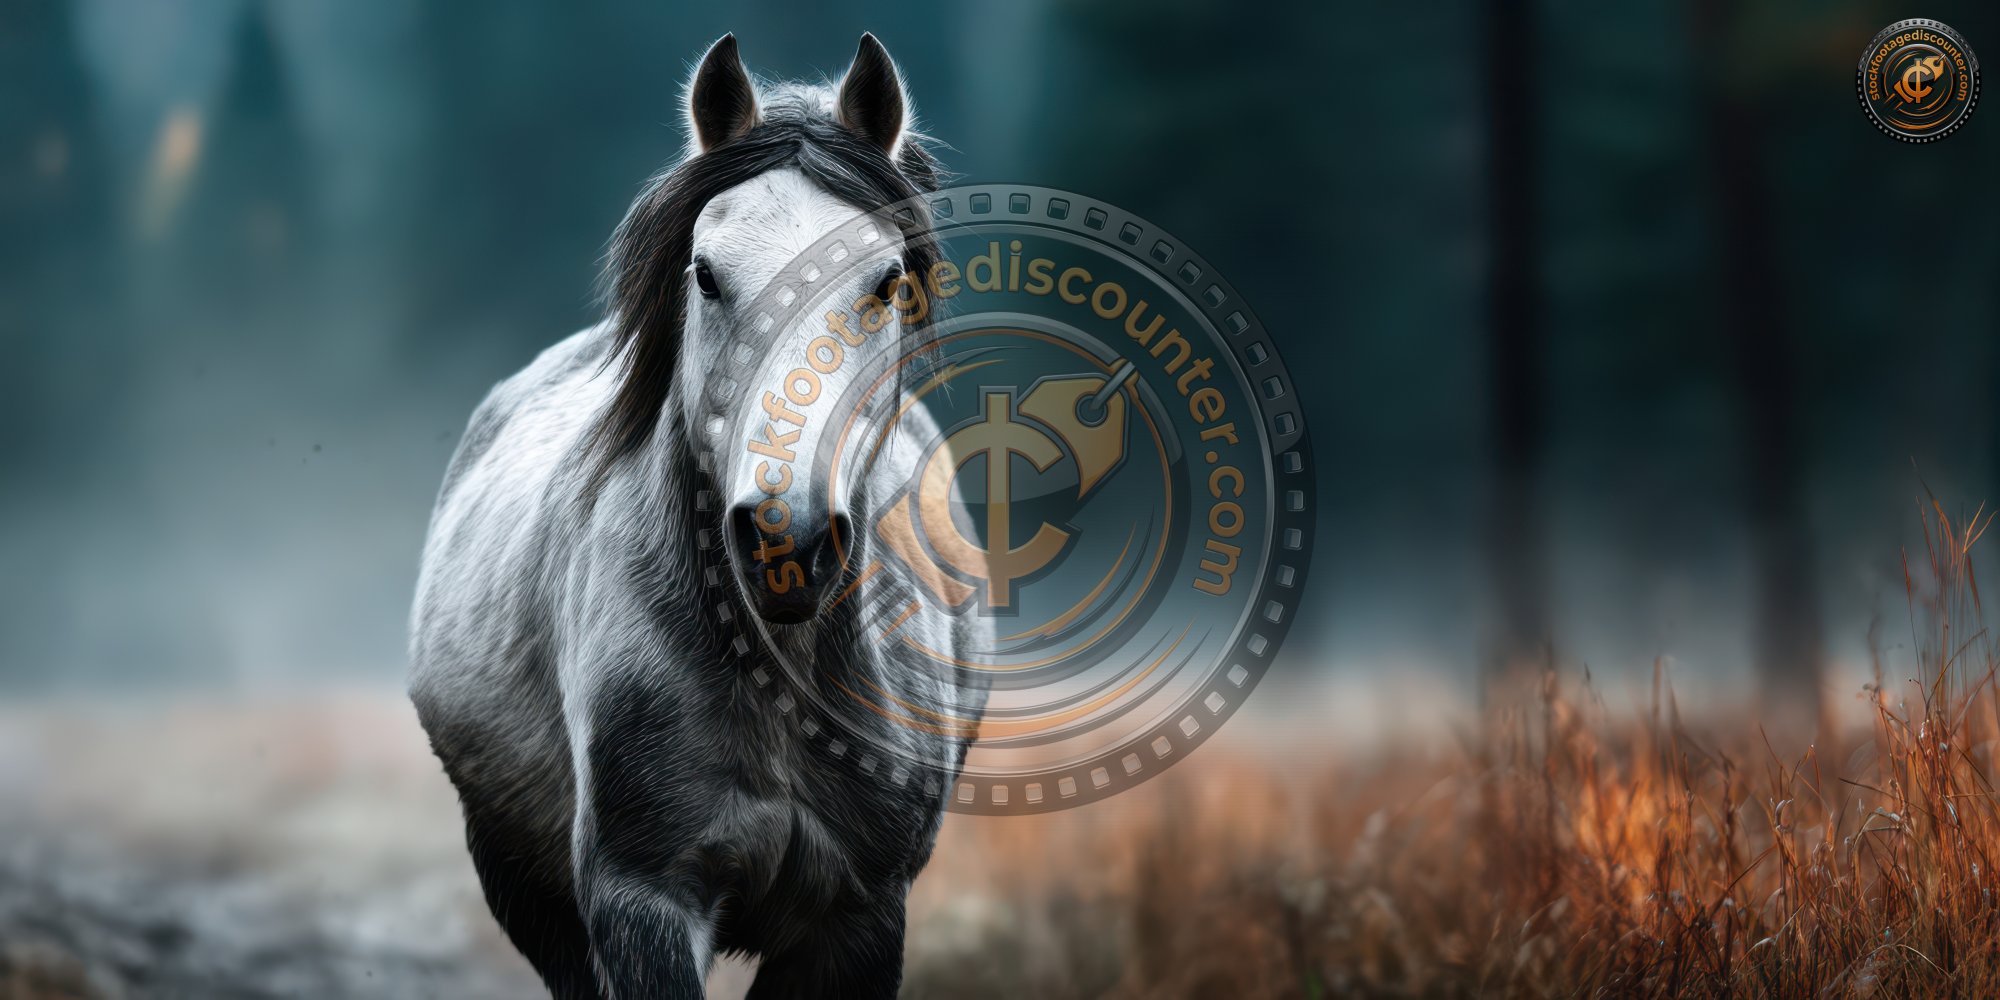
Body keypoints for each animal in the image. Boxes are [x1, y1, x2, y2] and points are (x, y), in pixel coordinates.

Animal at [409, 34, 987, 999]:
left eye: (886, 282)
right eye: (707, 275)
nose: (788, 540)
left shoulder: (860, 918)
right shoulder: (641, 903)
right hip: (523, 884)